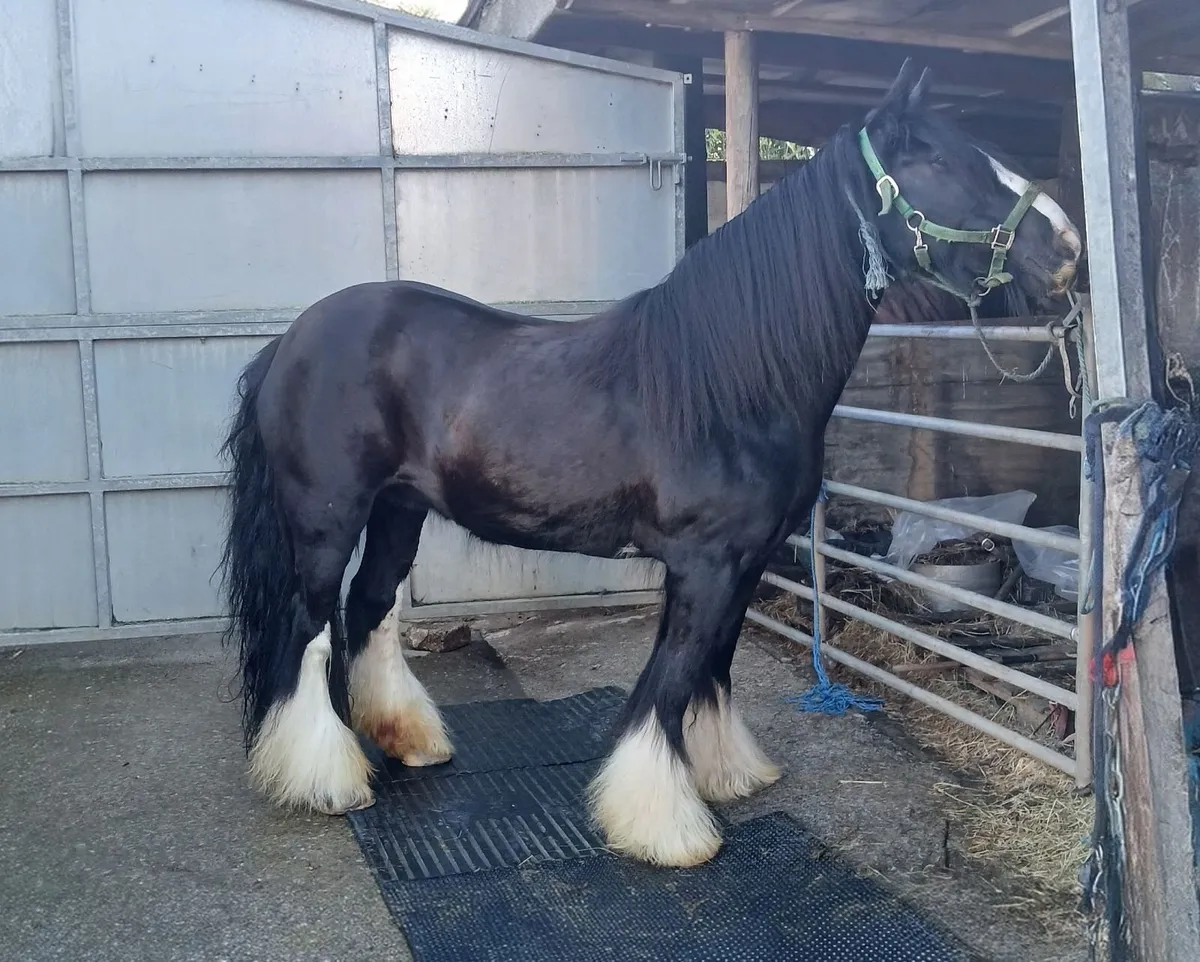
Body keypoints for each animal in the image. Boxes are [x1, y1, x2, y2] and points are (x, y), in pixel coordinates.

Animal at [217, 61, 1081, 869]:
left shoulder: (743, 562)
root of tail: (291, 341)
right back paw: (326, 781)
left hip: (399, 510)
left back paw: (410, 741)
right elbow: (672, 679)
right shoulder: (704, 564)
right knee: (308, 628)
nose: (1068, 248)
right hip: (326, 522)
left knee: (368, 608)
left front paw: (726, 773)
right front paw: (665, 826)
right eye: (938, 158)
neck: (731, 382)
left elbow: (713, 668)